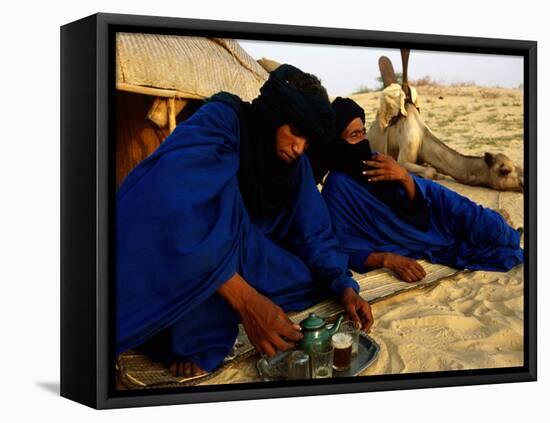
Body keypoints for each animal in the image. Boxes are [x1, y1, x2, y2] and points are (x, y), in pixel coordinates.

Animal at [366, 50, 528, 194]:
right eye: (505, 170)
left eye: (516, 166)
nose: (522, 184)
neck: (423, 139)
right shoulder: (405, 153)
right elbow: (429, 171)